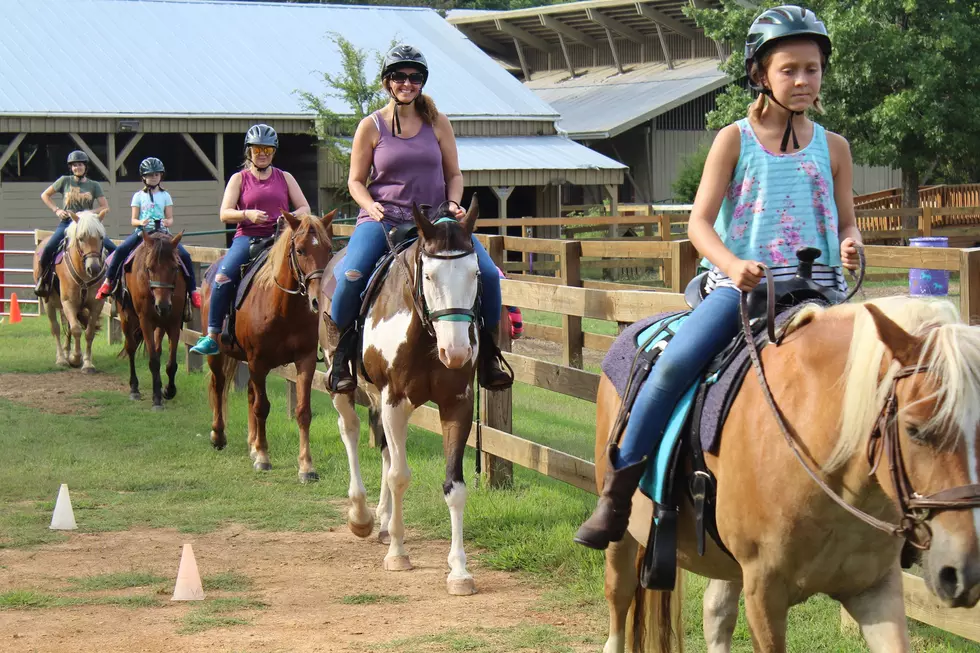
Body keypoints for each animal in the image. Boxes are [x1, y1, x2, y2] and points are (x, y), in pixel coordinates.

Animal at [33, 209, 109, 372]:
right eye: (81, 238)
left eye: (101, 237)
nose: (94, 268)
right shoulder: (69, 302)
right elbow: (76, 330)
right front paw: (75, 358)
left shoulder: (96, 305)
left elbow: (88, 332)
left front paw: (87, 363)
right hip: (48, 302)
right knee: (56, 328)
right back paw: (62, 358)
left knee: (67, 327)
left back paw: (67, 352)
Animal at [117, 229, 189, 410]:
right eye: (149, 268)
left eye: (175, 268)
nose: (162, 306)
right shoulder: (146, 322)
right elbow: (154, 361)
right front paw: (156, 398)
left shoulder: (173, 322)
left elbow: (171, 363)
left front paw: (168, 390)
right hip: (126, 318)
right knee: (131, 348)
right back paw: (134, 389)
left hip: (160, 324)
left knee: (156, 349)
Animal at [201, 211, 334, 482]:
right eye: (300, 250)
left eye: (329, 249)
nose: (318, 300)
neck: (283, 308)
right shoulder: (258, 361)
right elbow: (262, 407)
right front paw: (263, 457)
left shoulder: (304, 361)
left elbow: (303, 411)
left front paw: (306, 466)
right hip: (218, 355)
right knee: (219, 387)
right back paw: (218, 436)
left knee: (250, 393)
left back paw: (252, 443)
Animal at [320, 199, 484, 596]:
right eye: (430, 277)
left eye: (475, 273)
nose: (456, 352)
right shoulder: (394, 399)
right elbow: (399, 476)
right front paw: (397, 552)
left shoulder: (457, 403)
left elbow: (454, 486)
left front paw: (459, 571)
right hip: (345, 386)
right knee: (350, 431)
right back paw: (362, 516)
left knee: (382, 447)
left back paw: (380, 520)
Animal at [596, 296, 980, 652]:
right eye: (914, 429)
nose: (964, 571)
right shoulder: (764, 595)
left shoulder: (875, 589)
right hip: (623, 537)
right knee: (618, 596)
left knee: (716, 613)